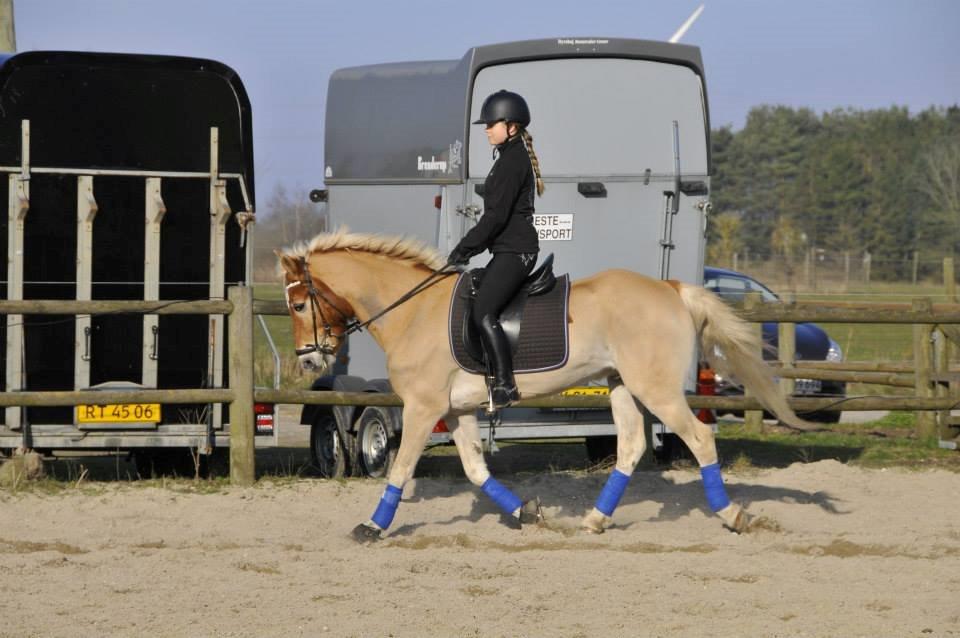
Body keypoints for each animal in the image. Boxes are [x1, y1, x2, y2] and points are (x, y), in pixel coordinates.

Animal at [278, 230, 804, 544]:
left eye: (300, 304)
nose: (309, 360)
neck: (413, 310)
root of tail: (670, 288)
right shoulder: (458, 410)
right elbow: (476, 471)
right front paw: (526, 513)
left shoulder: (423, 409)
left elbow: (401, 468)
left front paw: (372, 525)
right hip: (623, 387)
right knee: (632, 446)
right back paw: (595, 520)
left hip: (657, 390)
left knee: (699, 438)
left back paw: (732, 516)